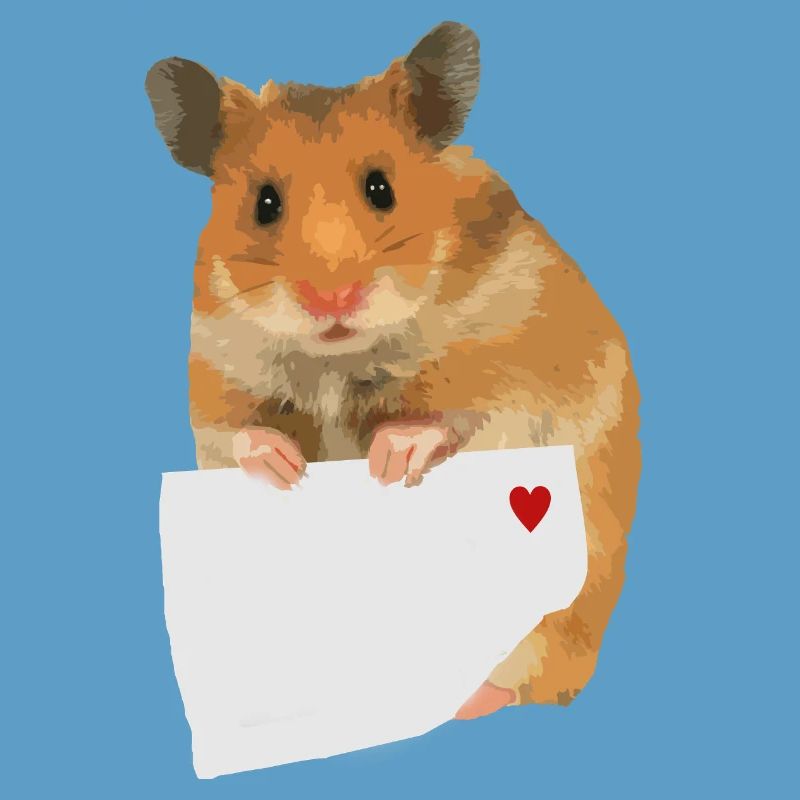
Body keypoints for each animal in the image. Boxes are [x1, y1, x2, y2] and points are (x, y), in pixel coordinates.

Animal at [146, 21, 641, 717]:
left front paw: (387, 457)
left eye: (382, 188)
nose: (331, 299)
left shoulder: (521, 371)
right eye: (264, 203)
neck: (340, 357)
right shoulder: (215, 374)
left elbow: (459, 418)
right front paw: (287, 469)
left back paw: (469, 700)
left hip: (571, 608)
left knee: (537, 675)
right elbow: (240, 434)